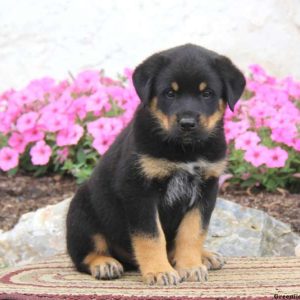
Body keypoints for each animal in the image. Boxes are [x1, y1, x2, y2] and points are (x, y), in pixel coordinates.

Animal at [66, 43, 246, 284]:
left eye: (207, 93)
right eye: (170, 93)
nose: (187, 123)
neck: (184, 151)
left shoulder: (207, 189)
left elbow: (192, 232)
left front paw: (190, 266)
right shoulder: (139, 190)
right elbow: (151, 236)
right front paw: (160, 271)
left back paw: (204, 256)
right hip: (80, 212)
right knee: (83, 255)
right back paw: (104, 263)